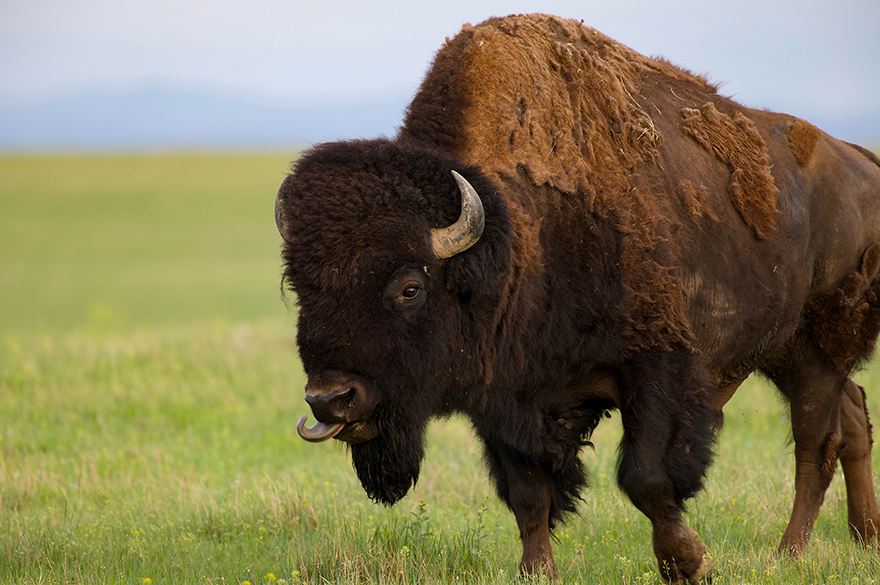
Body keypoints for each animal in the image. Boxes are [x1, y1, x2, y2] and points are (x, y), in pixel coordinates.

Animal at [276, 13, 880, 584]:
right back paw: (864, 539)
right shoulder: (506, 400)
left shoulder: (654, 370)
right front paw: (537, 571)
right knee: (851, 417)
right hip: (785, 351)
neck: (519, 236)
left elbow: (647, 479)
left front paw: (689, 564)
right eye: (299, 287)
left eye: (410, 287)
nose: (331, 399)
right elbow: (528, 497)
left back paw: (789, 554)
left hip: (816, 348)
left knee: (816, 443)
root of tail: (860, 162)